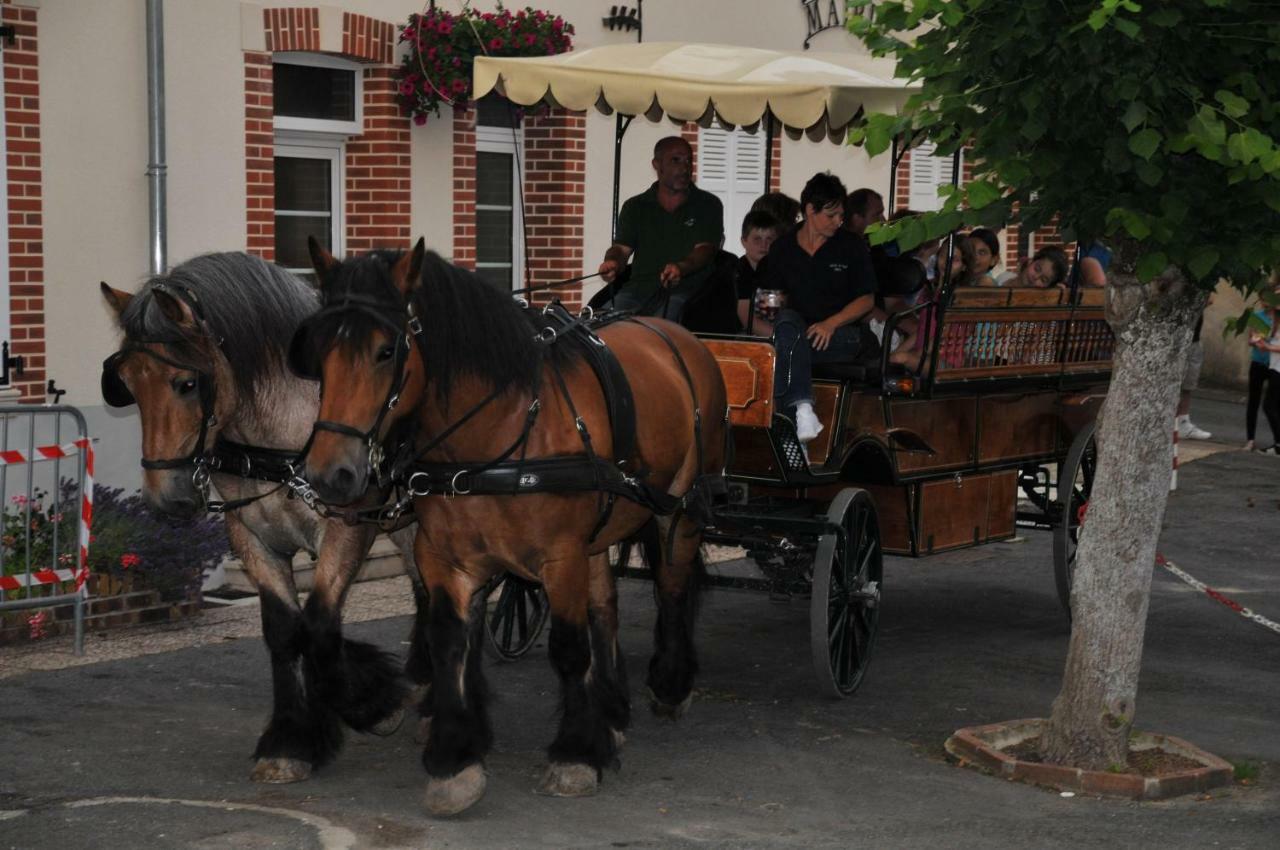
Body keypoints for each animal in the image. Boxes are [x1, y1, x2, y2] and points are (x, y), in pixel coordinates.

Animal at [99, 252, 427, 783]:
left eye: (186, 384)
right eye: (125, 385)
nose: (164, 499)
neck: (283, 432)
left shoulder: (345, 527)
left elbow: (319, 622)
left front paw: (373, 706)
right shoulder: (251, 536)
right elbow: (284, 629)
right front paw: (290, 741)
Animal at [291, 240, 732, 819]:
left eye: (386, 351)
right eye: (318, 351)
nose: (330, 474)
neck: (497, 432)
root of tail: (673, 332)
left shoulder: (559, 556)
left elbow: (568, 648)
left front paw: (574, 755)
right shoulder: (446, 559)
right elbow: (450, 641)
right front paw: (455, 758)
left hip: (678, 509)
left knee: (673, 586)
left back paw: (669, 683)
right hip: (601, 529)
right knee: (605, 604)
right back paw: (612, 711)